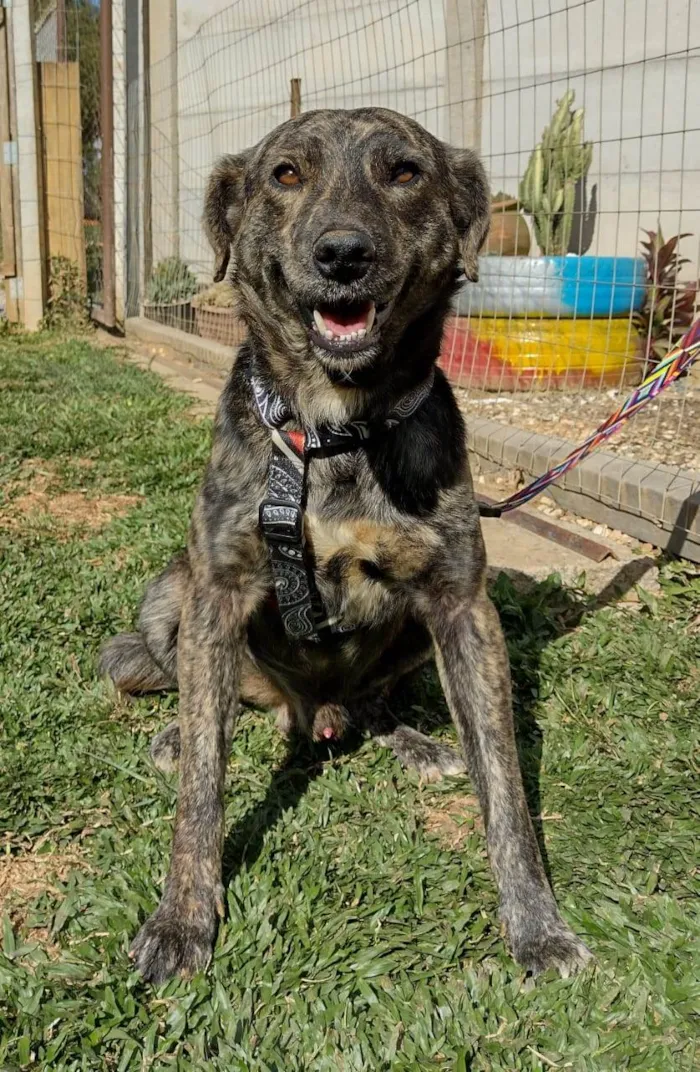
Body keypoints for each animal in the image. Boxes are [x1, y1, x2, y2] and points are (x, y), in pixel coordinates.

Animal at [100, 106, 591, 981]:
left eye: (405, 173)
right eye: (285, 175)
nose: (341, 254)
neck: (333, 429)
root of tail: (308, 713)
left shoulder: (462, 606)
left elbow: (504, 784)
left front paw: (538, 925)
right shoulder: (218, 590)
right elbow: (202, 787)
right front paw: (183, 918)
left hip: (416, 636)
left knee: (371, 701)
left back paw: (411, 739)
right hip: (170, 595)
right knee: (201, 697)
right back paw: (180, 729)